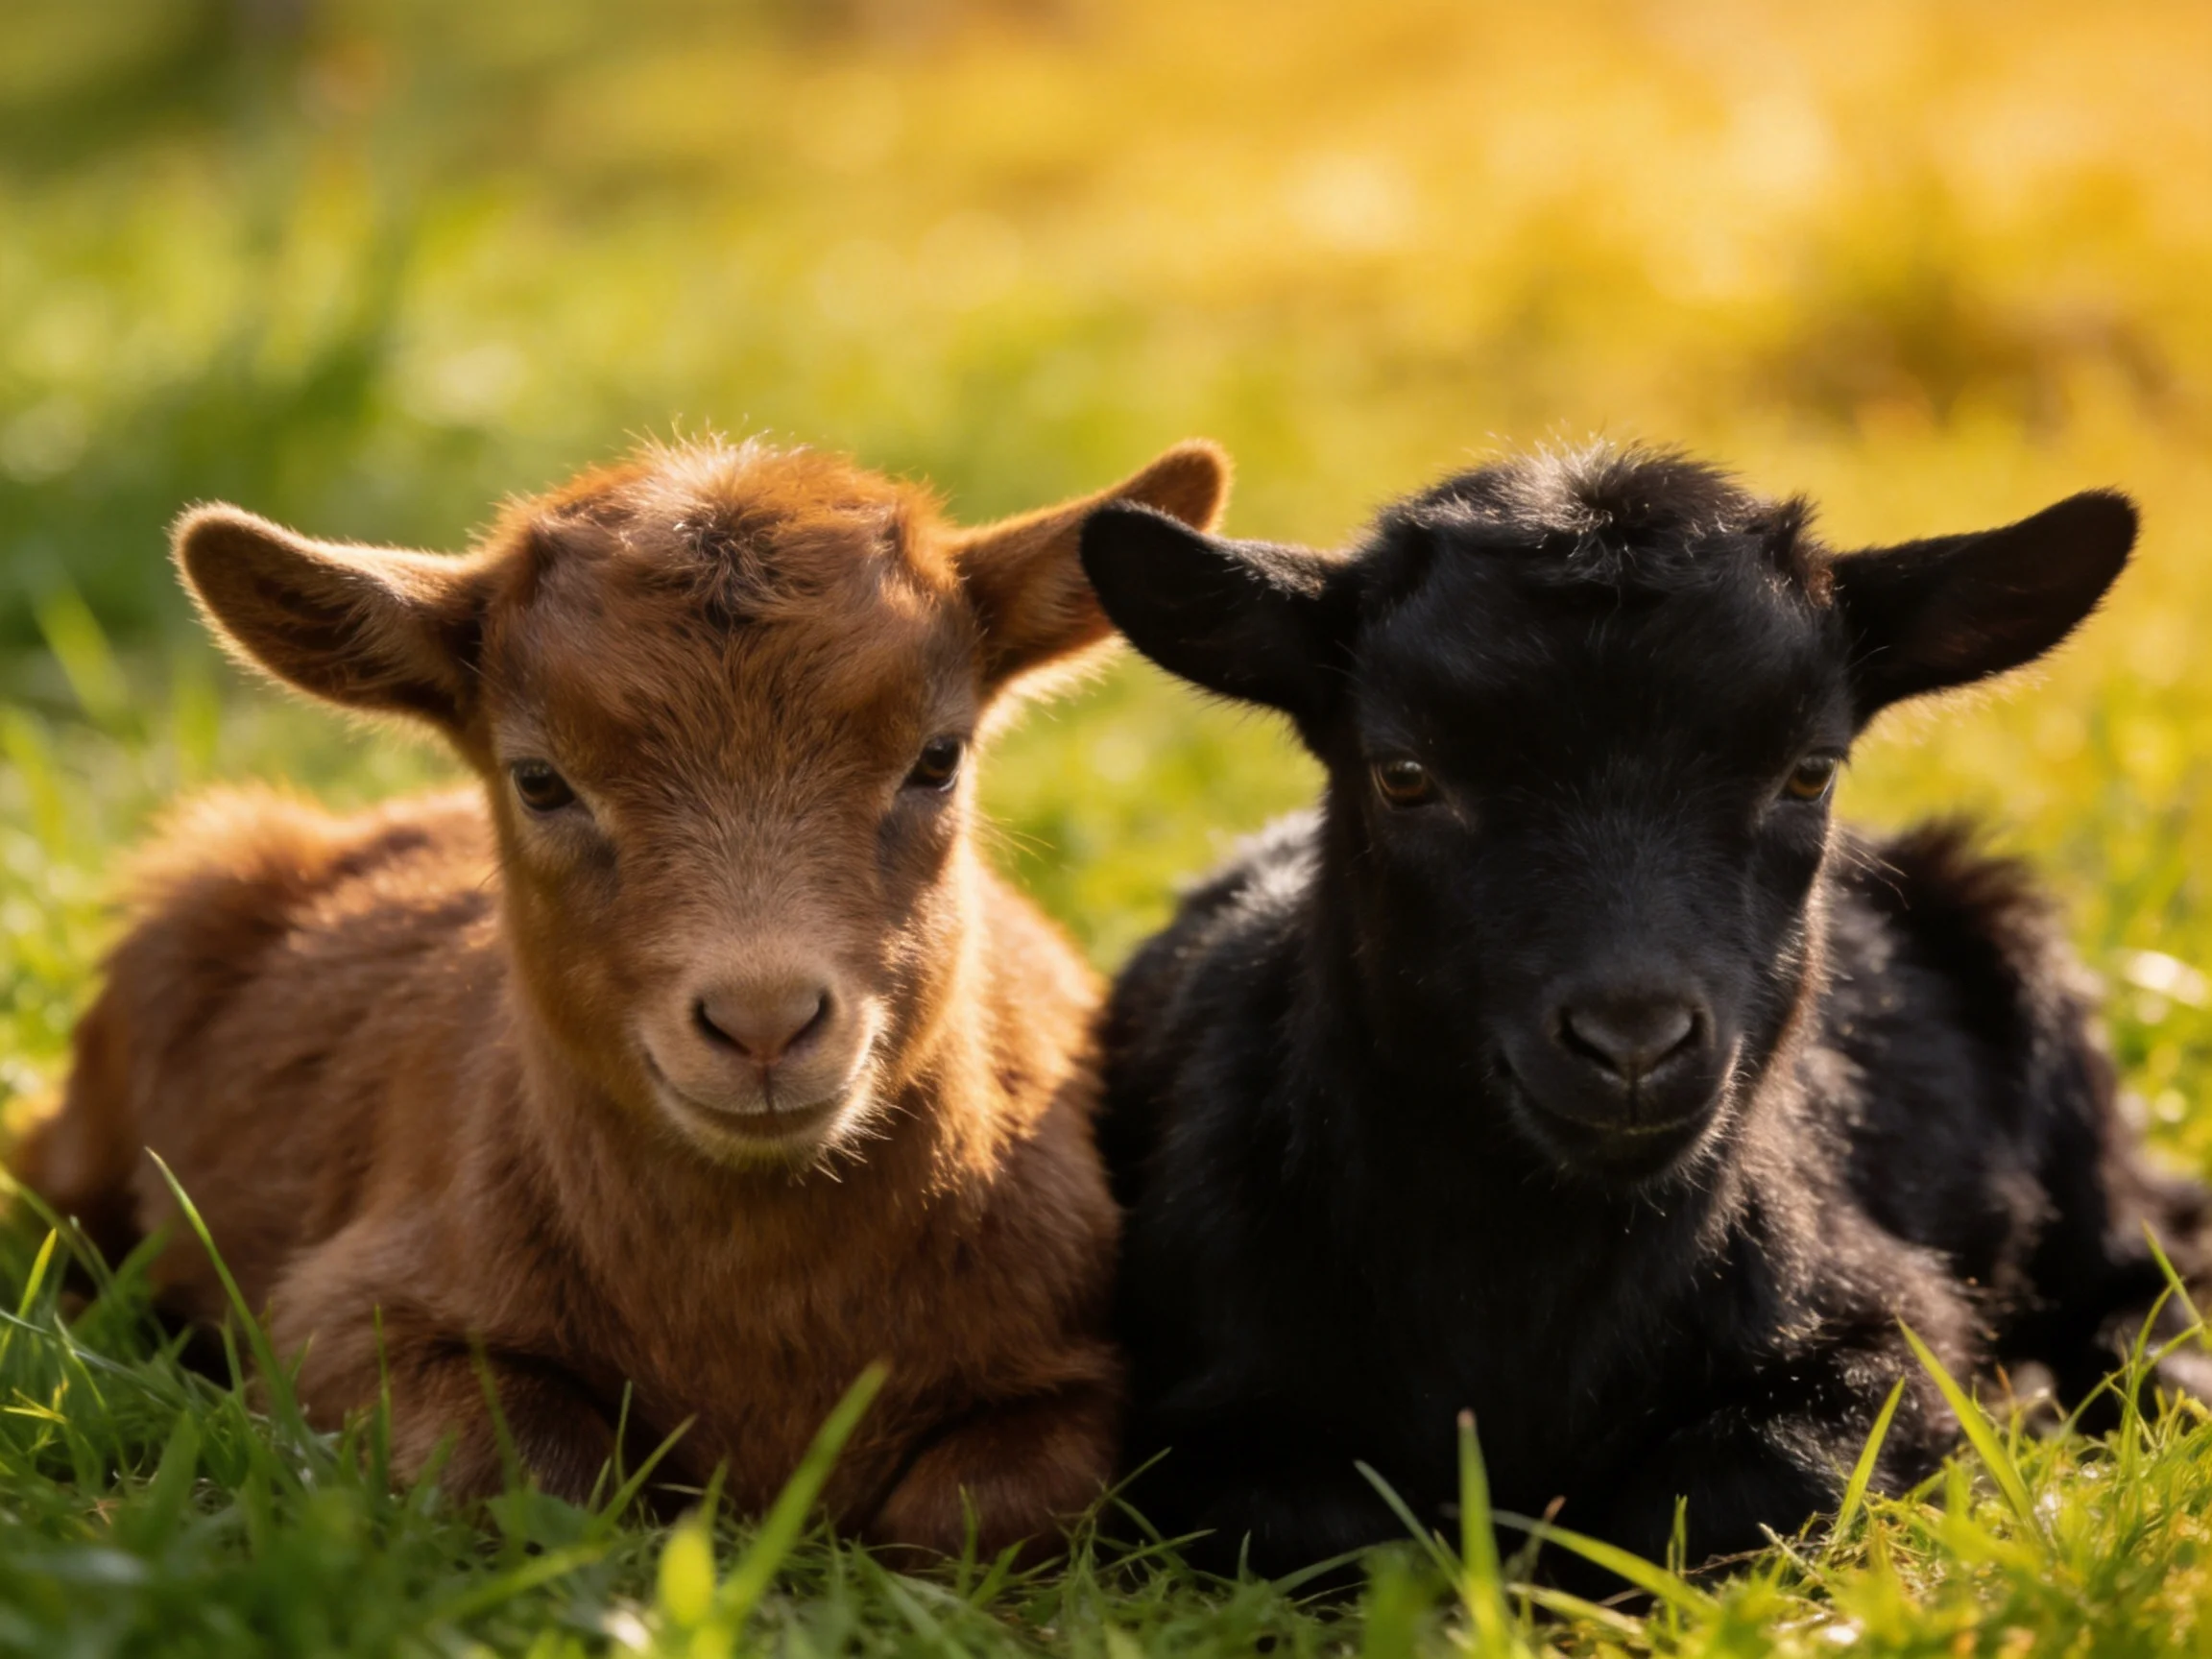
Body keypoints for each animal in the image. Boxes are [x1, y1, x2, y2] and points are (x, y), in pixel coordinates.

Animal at [16, 435, 1230, 1556]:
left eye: (938, 756)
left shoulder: (1080, 1355)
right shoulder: (344, 1318)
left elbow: (985, 1509)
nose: (762, 1023)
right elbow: (537, 1473)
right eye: (540, 779)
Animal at [1077, 443, 2209, 1575]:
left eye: (1809, 772)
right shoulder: (1194, 1396)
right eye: (1403, 775)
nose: (1633, 1044)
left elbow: (1733, 1489)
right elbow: (1324, 1527)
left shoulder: (1890, 1324)